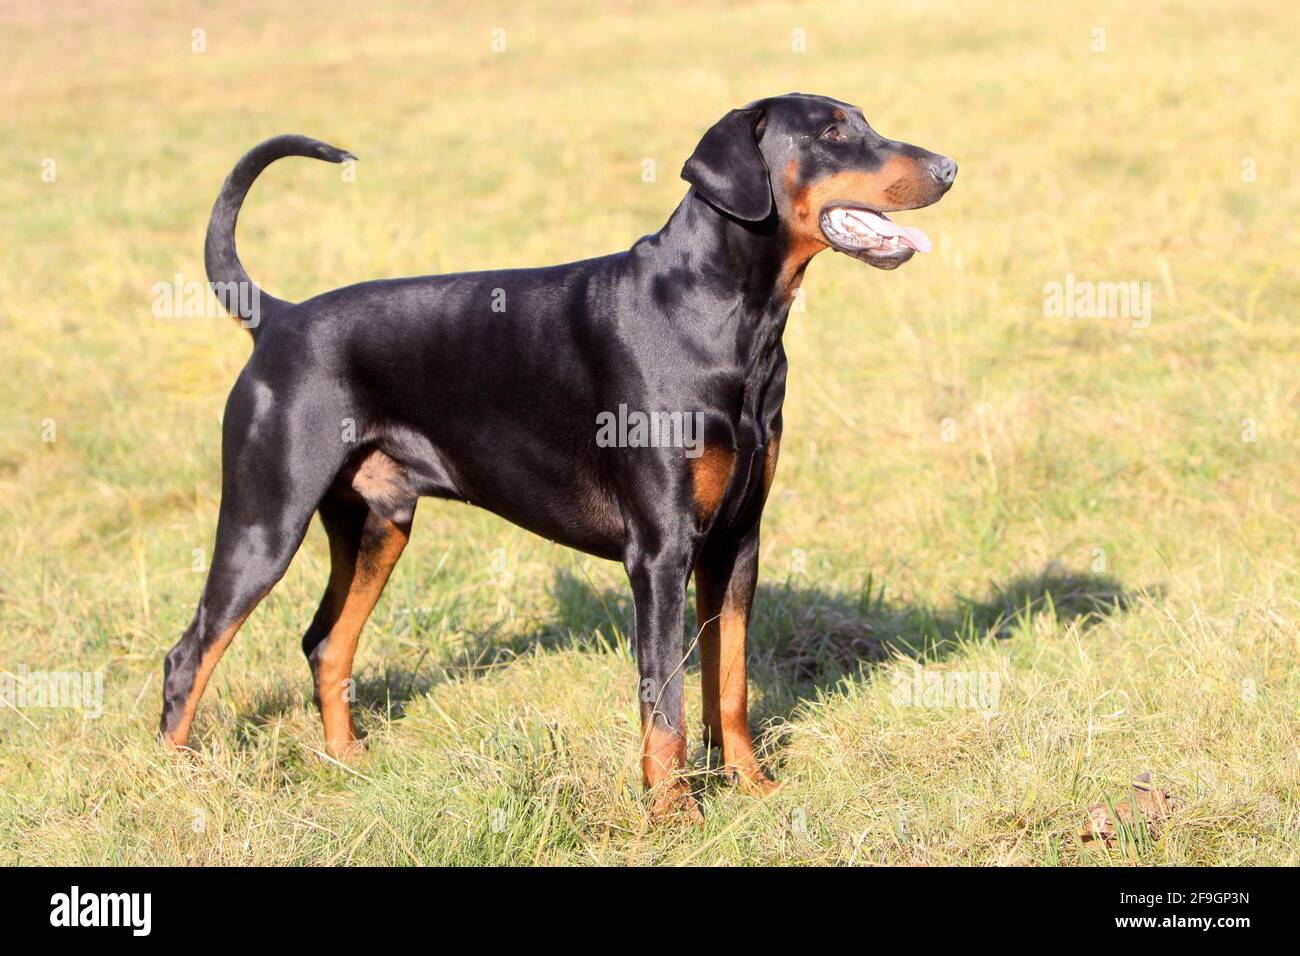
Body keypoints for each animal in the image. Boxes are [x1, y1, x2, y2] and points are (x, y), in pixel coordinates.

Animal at [162, 93, 956, 816]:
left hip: (377, 525)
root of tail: (279, 319)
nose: (948, 167)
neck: (727, 316)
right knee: (190, 654)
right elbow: (664, 703)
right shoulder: (660, 552)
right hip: (265, 523)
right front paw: (674, 814)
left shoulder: (737, 541)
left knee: (327, 643)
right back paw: (179, 788)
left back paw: (349, 764)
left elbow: (727, 684)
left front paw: (753, 788)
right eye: (833, 133)